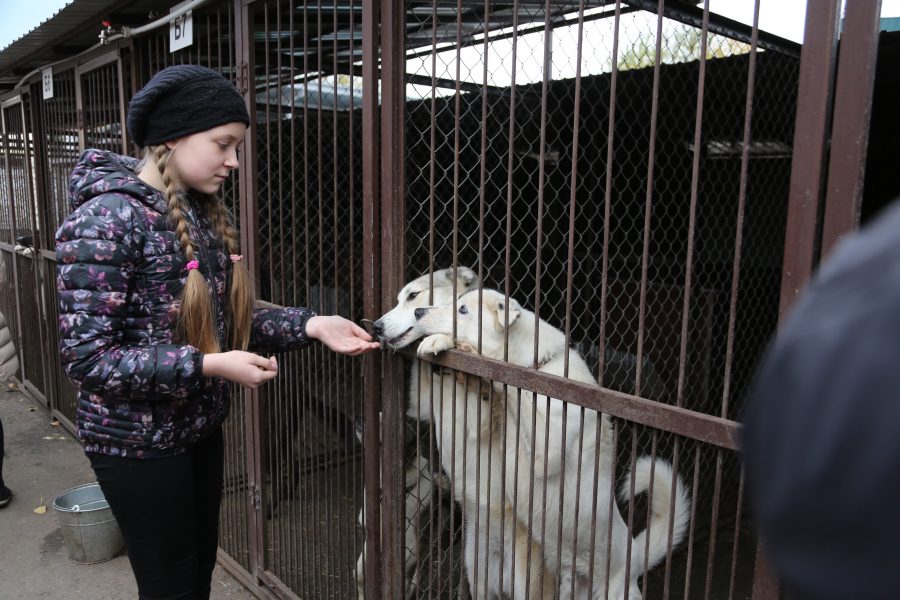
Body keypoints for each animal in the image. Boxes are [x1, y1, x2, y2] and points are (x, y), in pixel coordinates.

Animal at [414, 288, 688, 596]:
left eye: (462, 309)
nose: (418, 312)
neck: (542, 365)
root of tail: (635, 558)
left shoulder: (548, 450)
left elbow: (512, 383)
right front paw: (439, 342)